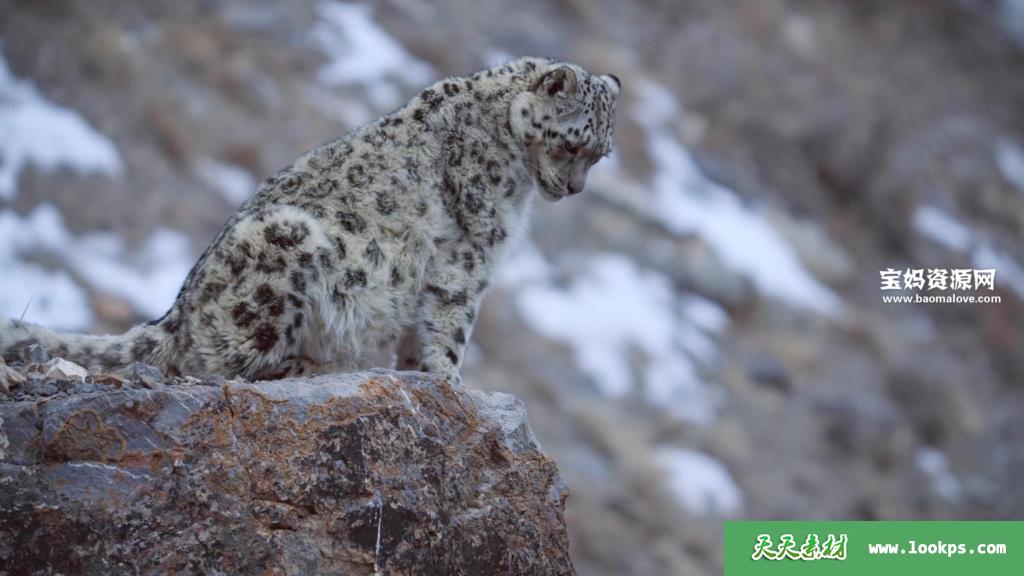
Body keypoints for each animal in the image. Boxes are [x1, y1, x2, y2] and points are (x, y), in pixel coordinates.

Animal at [0, 57, 620, 386]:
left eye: (602, 154)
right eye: (572, 144)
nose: (574, 189)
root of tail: (177, 312)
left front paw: (419, 375)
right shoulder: (470, 254)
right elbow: (452, 323)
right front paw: (449, 381)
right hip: (288, 241)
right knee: (215, 365)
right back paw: (309, 367)